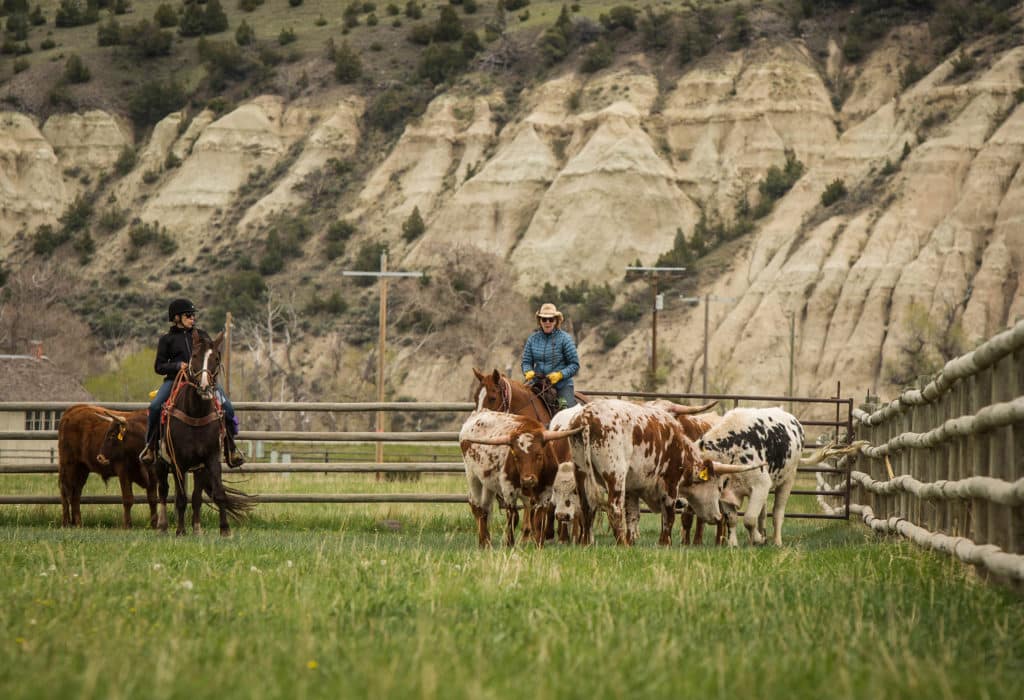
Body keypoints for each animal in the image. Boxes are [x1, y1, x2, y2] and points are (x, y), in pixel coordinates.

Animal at [154, 331, 252, 540]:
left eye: (216, 358)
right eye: (195, 356)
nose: (205, 387)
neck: (195, 414)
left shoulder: (211, 459)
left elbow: (218, 493)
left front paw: (225, 529)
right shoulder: (178, 462)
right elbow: (181, 498)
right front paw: (180, 531)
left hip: (198, 468)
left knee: (197, 497)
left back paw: (197, 528)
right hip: (160, 463)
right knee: (163, 491)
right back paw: (163, 526)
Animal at [460, 409, 581, 548]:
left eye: (539, 455)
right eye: (516, 457)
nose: (528, 480)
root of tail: (478, 413)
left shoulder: (545, 494)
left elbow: (539, 519)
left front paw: (539, 544)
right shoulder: (509, 491)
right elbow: (512, 517)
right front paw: (509, 543)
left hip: (487, 483)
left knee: (485, 508)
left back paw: (486, 541)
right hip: (472, 476)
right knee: (476, 506)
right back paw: (484, 543)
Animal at [700, 405, 802, 548]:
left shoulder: (761, 486)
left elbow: (749, 519)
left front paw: (758, 539)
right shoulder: (725, 494)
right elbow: (732, 518)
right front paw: (733, 544)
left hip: (788, 480)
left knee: (777, 513)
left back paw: (776, 541)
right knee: (763, 515)